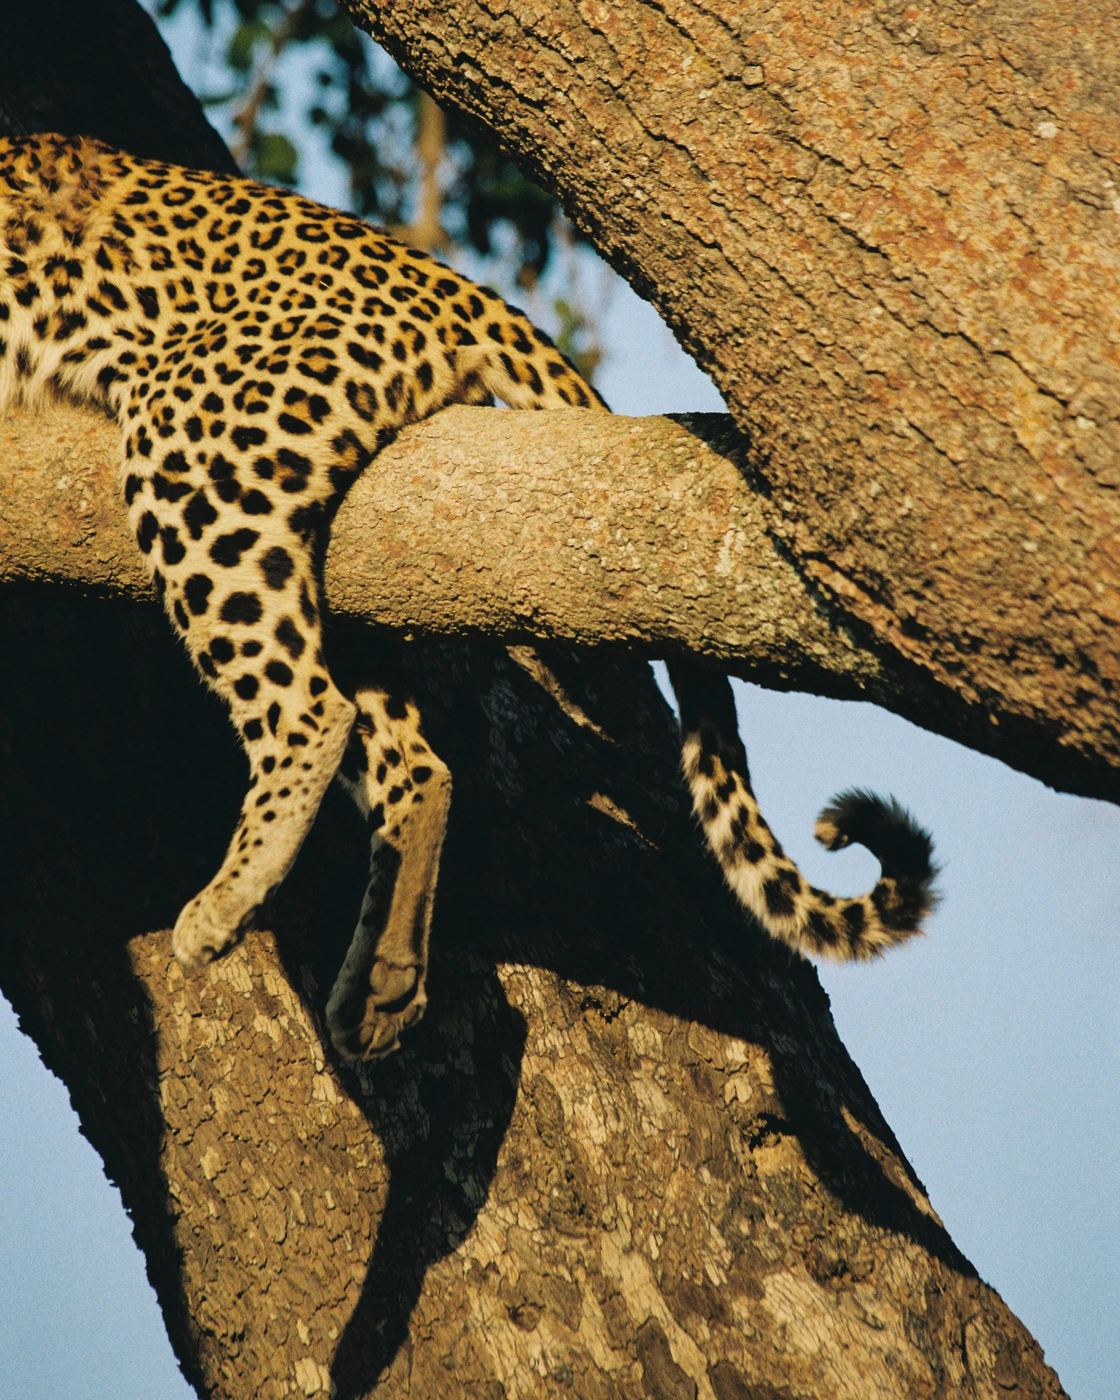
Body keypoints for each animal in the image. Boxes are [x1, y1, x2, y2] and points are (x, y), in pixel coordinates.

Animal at [0, 133, 938, 1061]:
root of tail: (430, 271)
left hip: (194, 435)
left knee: (311, 710)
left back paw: (225, 906)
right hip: (343, 578)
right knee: (413, 761)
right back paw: (380, 984)